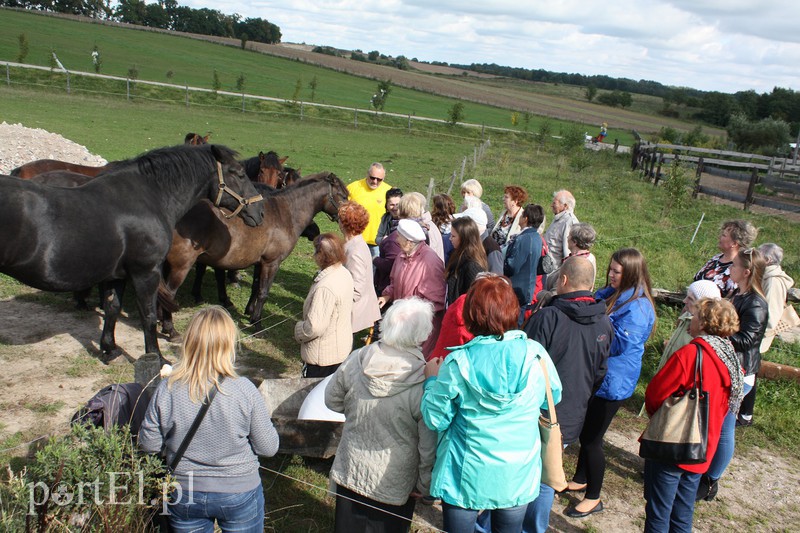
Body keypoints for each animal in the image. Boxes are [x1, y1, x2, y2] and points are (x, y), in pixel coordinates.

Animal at [0, 143, 264, 360]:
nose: (259, 211)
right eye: (240, 174)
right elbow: (148, 315)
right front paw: (157, 357)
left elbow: (112, 309)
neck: (149, 197)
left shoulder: (116, 274)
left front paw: (109, 349)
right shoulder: (145, 272)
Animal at [160, 171, 350, 336]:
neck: (286, 213)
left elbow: (256, 287)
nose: (316, 232)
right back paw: (170, 330)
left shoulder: (260, 262)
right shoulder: (272, 263)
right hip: (180, 267)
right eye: (342, 196)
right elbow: (263, 292)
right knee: (168, 294)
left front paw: (250, 314)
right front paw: (258, 324)